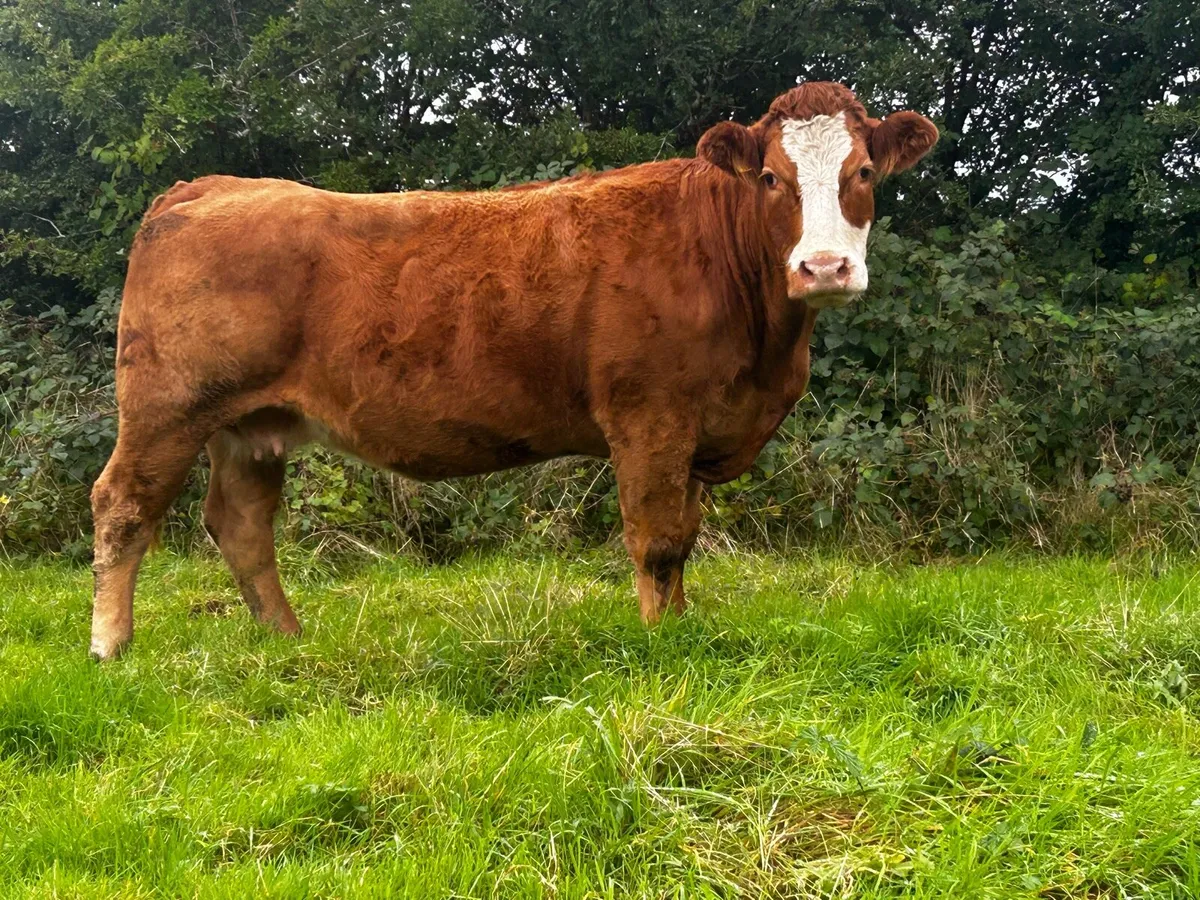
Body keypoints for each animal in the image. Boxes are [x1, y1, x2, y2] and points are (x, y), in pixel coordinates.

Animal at [88, 81, 937, 660]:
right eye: (770, 179)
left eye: (864, 172)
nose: (823, 267)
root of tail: (211, 185)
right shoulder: (651, 417)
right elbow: (657, 541)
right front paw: (662, 645)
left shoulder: (695, 431)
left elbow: (685, 538)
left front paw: (682, 625)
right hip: (168, 407)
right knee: (123, 507)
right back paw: (111, 647)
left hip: (249, 424)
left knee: (240, 524)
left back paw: (286, 639)